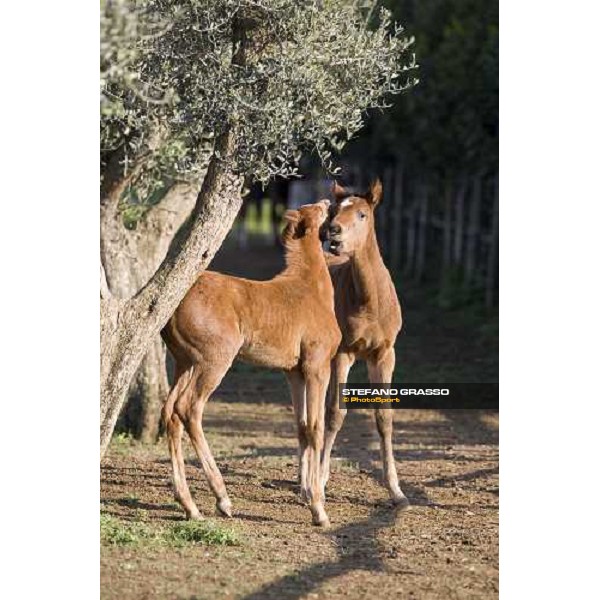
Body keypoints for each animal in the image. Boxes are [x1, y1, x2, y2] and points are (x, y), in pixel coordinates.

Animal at [162, 200, 340, 524]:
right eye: (317, 210)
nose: (327, 203)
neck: (312, 290)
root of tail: (175, 305)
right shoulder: (317, 367)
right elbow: (316, 427)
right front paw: (319, 508)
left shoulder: (293, 372)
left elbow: (301, 426)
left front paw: (307, 493)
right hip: (214, 361)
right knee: (188, 408)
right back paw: (222, 499)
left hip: (185, 362)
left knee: (170, 413)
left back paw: (189, 505)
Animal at [322, 180, 410, 508]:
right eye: (334, 210)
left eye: (362, 214)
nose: (333, 231)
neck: (371, 302)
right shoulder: (343, 354)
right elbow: (335, 414)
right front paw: (319, 484)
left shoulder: (384, 354)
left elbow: (384, 417)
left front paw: (396, 491)